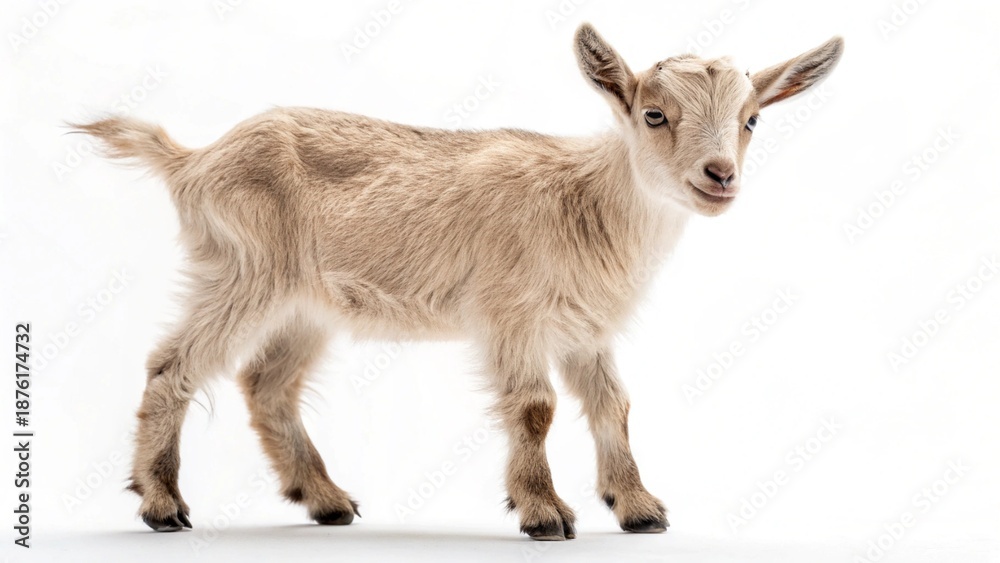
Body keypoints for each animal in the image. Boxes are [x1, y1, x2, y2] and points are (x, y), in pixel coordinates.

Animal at [74, 23, 843, 540]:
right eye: (655, 114)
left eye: (751, 119)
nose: (720, 175)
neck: (586, 200)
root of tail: (194, 159)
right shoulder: (511, 312)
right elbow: (534, 407)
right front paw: (543, 513)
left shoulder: (584, 327)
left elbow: (613, 405)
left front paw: (638, 508)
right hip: (244, 271)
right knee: (172, 364)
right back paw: (162, 504)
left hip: (306, 303)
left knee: (266, 385)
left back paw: (325, 499)